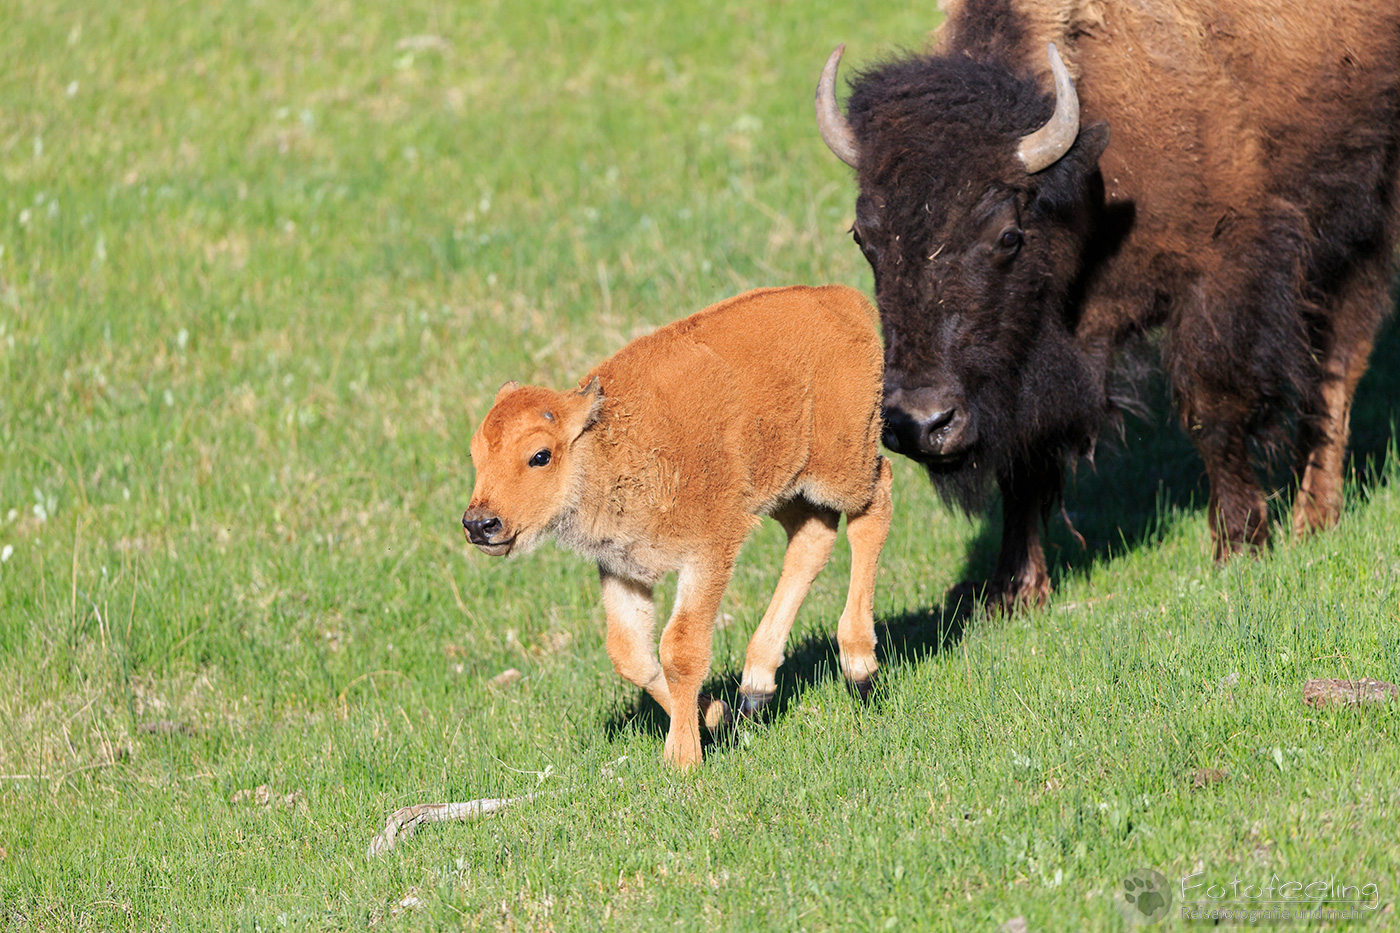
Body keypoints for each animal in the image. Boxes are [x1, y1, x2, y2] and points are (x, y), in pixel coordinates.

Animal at [815, 0, 1400, 608]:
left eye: (1007, 236)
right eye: (863, 238)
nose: (921, 424)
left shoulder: (1221, 278)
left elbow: (1213, 410)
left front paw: (1239, 545)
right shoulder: (1036, 358)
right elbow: (1026, 456)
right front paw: (1013, 592)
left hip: (1363, 219)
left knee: (1337, 365)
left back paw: (1314, 517)